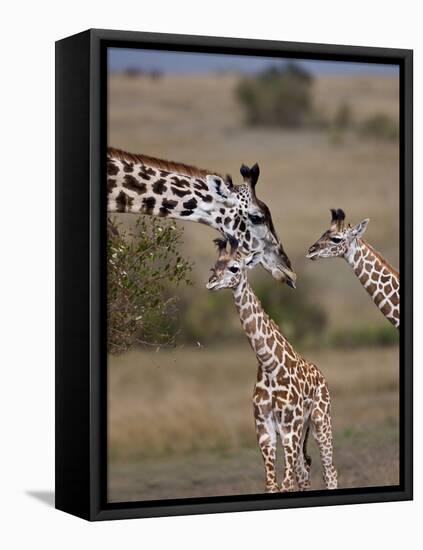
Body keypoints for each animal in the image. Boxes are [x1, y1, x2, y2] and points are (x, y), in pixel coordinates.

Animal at [207, 239, 340, 494]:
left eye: (234, 268)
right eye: (213, 267)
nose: (211, 283)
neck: (269, 365)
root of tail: (321, 375)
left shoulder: (289, 429)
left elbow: (286, 484)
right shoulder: (264, 430)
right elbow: (272, 484)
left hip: (320, 421)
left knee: (329, 471)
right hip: (302, 431)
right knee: (304, 472)